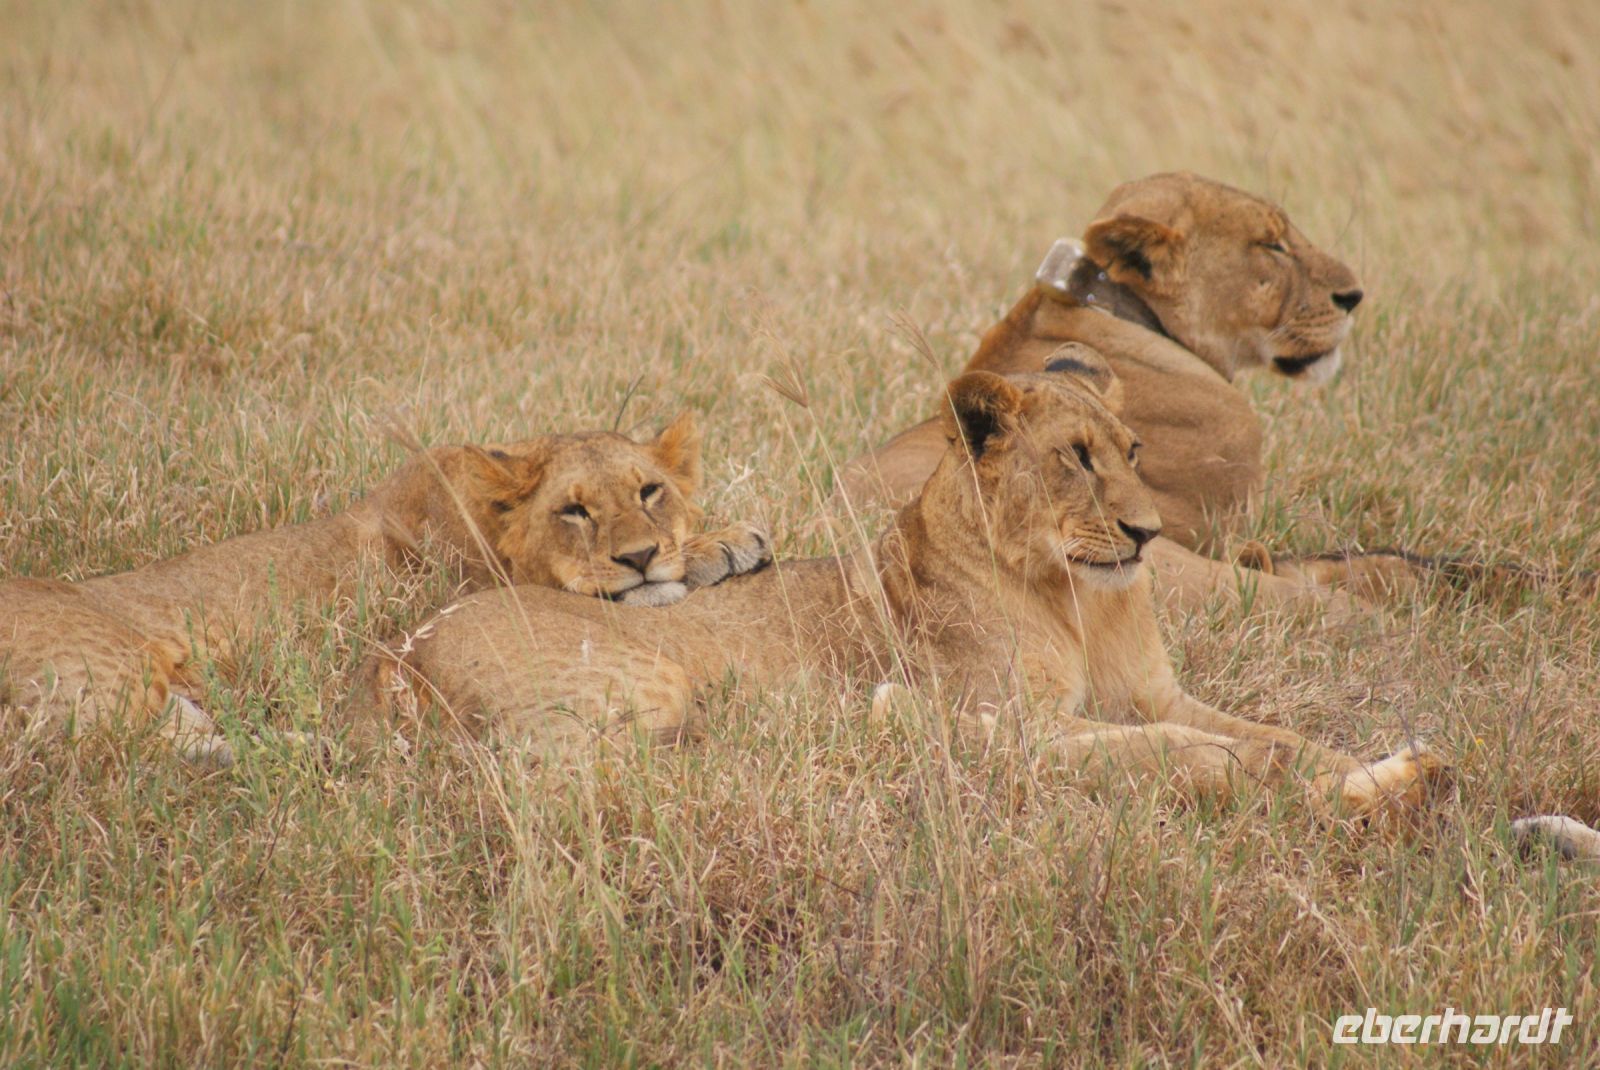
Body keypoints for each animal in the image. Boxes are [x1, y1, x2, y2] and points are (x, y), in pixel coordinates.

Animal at [0, 414, 769, 766]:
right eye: (573, 510)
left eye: (650, 491)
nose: (639, 556)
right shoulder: (426, 610)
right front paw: (720, 545)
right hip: (117, 668)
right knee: (113, 750)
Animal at [350, 361, 1442, 821]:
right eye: (1074, 457)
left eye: (1133, 452)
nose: (1146, 532)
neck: (1083, 600)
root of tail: (398, 652)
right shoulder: (1026, 716)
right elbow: (1176, 752)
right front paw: (1284, 774)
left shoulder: (1158, 691)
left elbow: (1269, 732)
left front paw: (1376, 765)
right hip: (652, 685)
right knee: (596, 775)